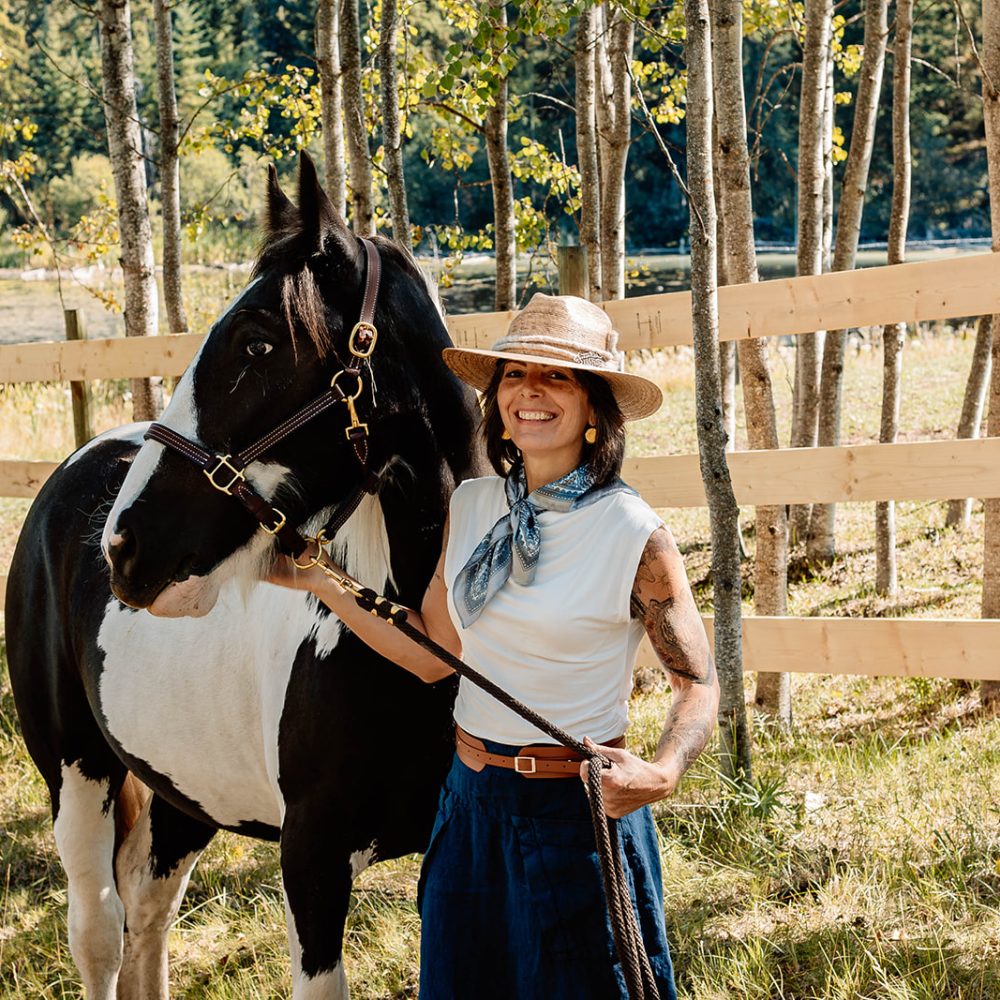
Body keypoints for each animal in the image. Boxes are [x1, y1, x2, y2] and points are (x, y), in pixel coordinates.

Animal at [3, 156, 480, 1000]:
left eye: (257, 343)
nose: (124, 547)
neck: (416, 655)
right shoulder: (312, 864)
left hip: (181, 788)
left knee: (148, 915)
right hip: (77, 774)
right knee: (99, 932)